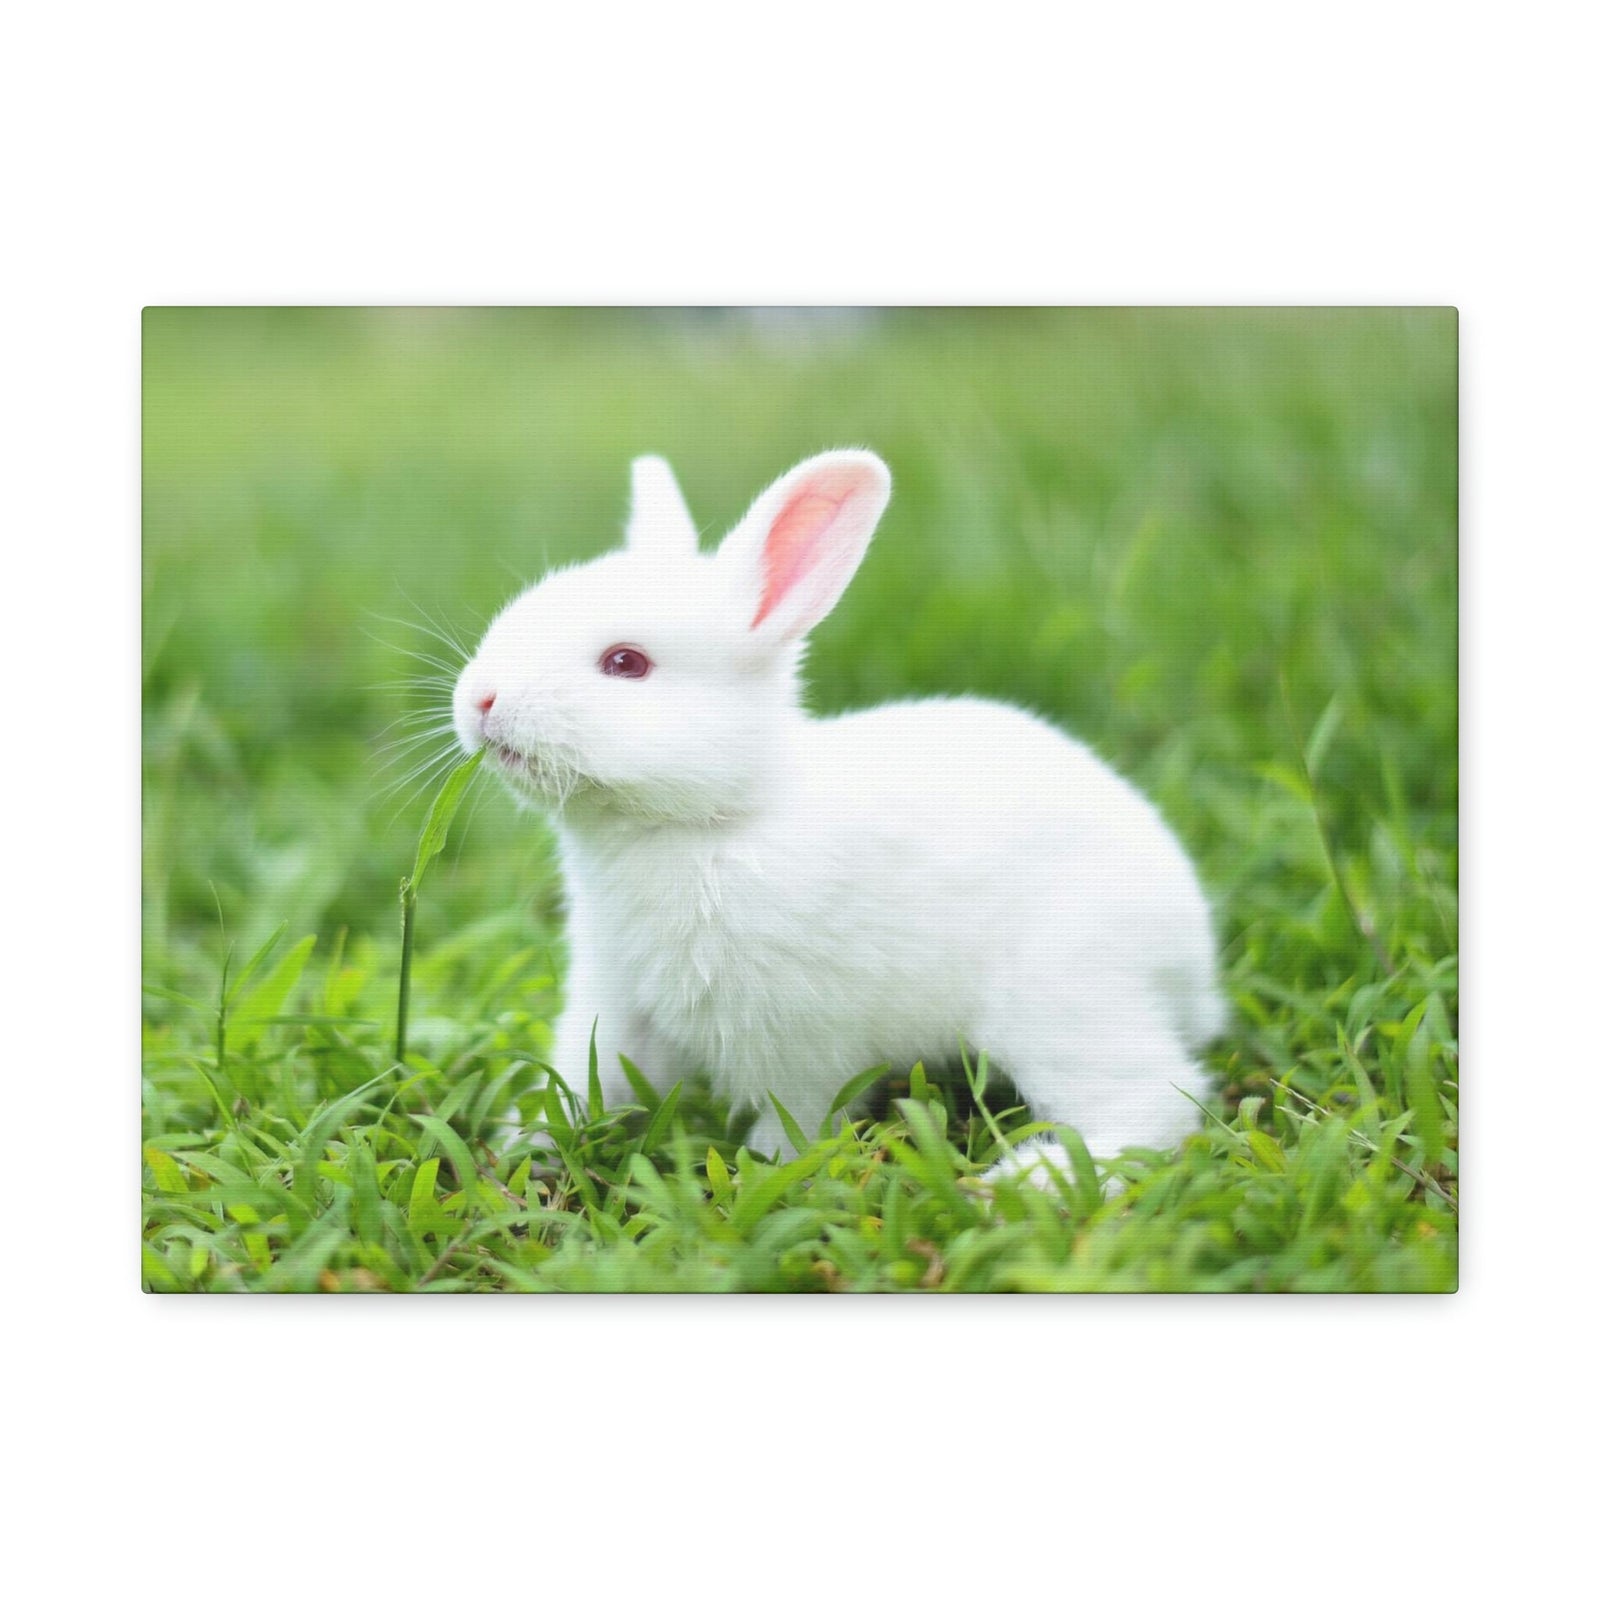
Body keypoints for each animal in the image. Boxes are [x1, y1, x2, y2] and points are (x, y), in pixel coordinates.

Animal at [452, 450, 1225, 1188]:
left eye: (625, 663)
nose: (481, 700)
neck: (711, 821)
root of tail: (1192, 954)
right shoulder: (617, 1006)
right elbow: (585, 1084)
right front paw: (521, 1147)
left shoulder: (799, 1042)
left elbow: (797, 1119)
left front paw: (765, 1172)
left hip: (1060, 1000)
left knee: (1154, 1103)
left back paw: (1020, 1183)